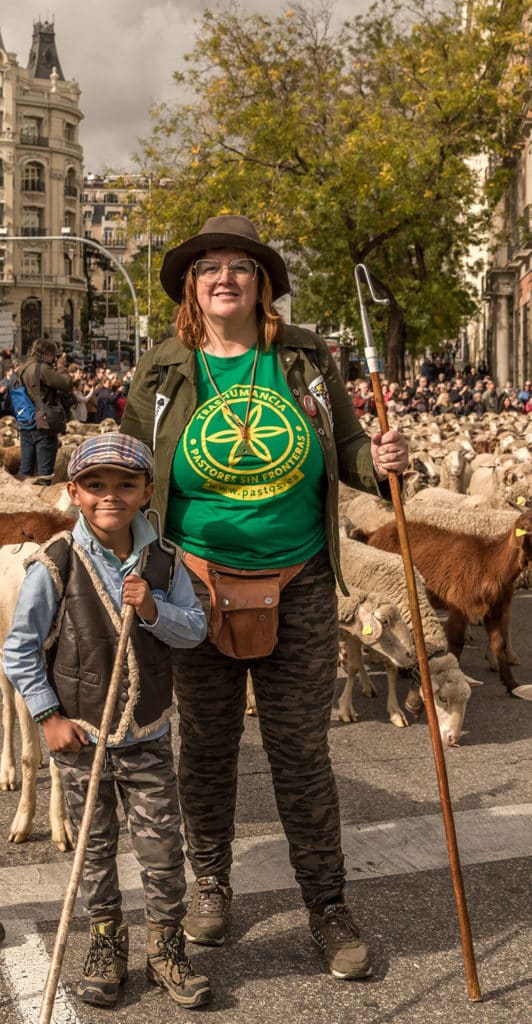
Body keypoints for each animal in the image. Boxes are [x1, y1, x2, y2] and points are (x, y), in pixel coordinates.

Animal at [368, 512, 532, 696]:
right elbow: (456, 643)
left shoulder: (494, 610)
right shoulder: (458, 605)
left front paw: (512, 685)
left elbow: (499, 645)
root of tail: (375, 533)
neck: (489, 564)